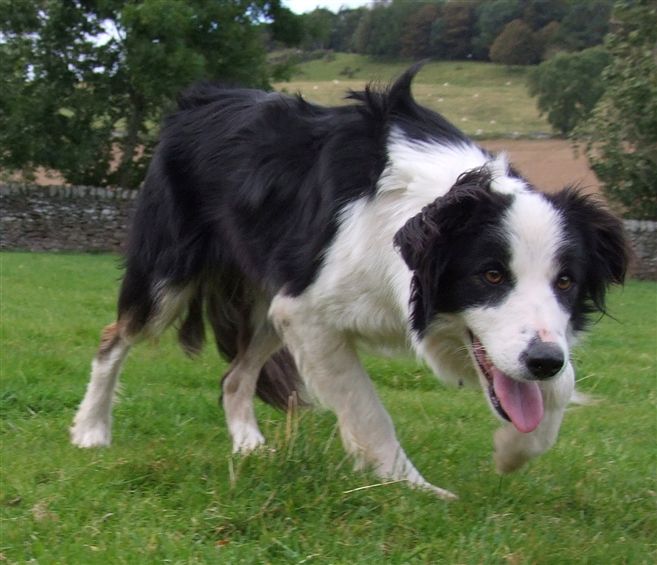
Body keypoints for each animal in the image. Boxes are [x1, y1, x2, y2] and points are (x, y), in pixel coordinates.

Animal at [71, 65, 628, 499]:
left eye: (565, 282)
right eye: (490, 274)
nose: (542, 360)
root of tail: (198, 100)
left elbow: (560, 387)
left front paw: (515, 450)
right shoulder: (307, 312)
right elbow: (368, 410)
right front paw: (414, 489)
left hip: (270, 299)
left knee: (234, 376)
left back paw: (248, 445)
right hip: (169, 275)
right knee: (113, 338)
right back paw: (92, 430)